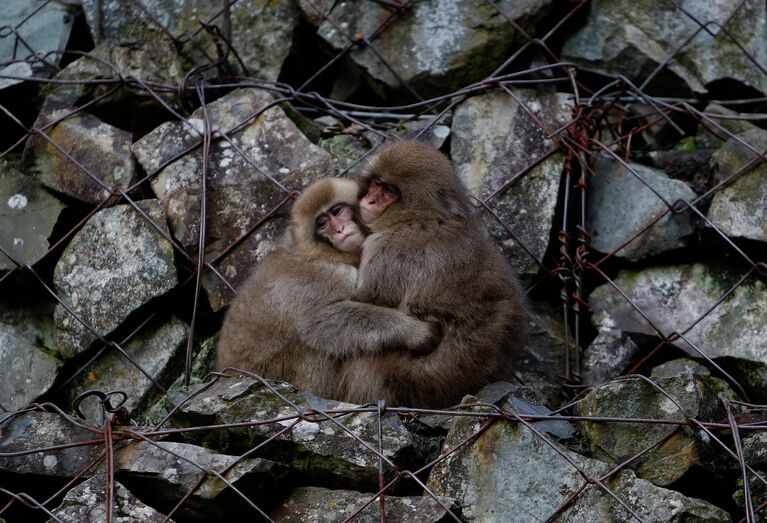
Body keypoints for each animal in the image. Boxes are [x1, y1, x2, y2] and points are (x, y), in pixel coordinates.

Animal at [216, 176, 438, 398]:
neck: (320, 254)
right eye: (322, 223)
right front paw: (413, 331)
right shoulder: (325, 277)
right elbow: (316, 321)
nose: (339, 229)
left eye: (337, 211)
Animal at [342, 140, 528, 410]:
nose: (371, 200)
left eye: (390, 191)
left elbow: (366, 299)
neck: (424, 217)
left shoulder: (387, 249)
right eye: (377, 183)